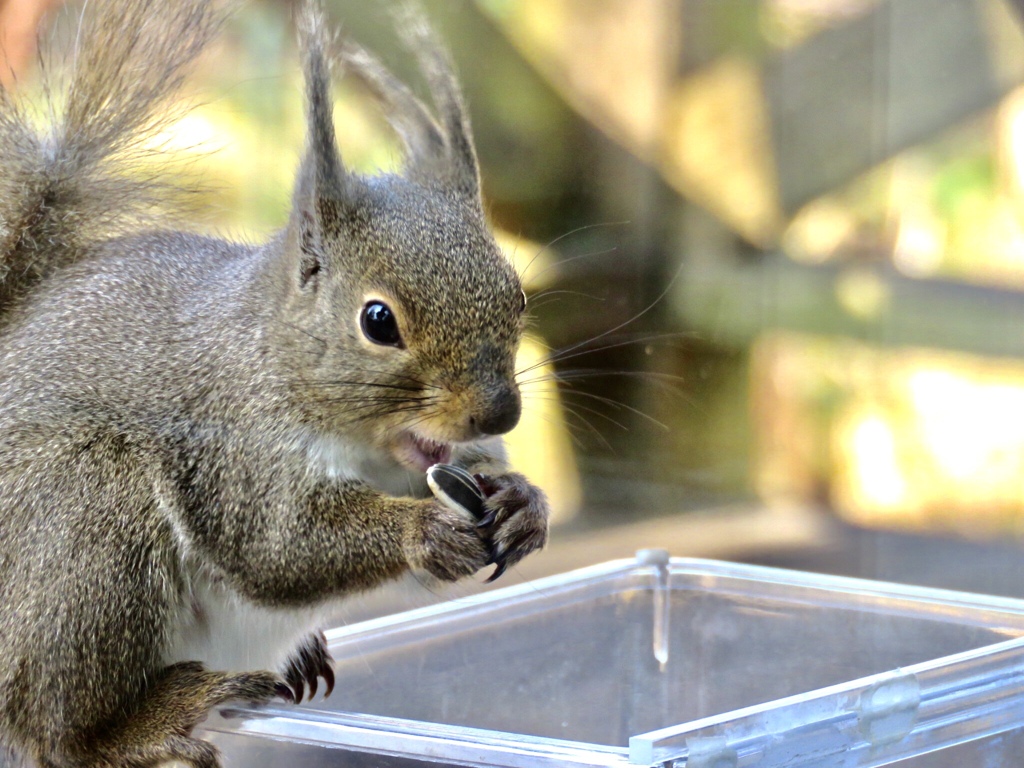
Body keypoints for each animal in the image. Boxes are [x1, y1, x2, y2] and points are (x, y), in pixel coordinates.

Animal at [0, 1, 548, 768]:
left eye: (518, 296)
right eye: (378, 321)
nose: (499, 414)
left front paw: (525, 503)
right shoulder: (234, 446)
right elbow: (278, 544)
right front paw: (423, 528)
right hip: (86, 522)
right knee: (54, 729)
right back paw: (152, 720)